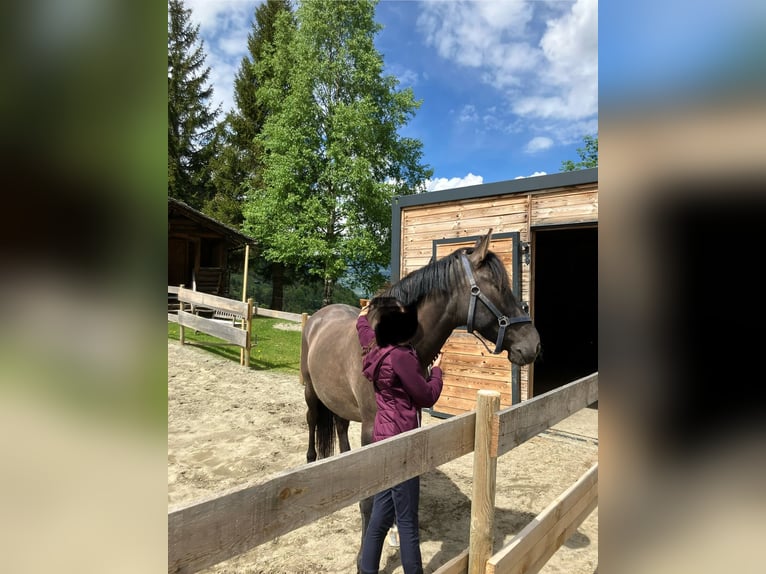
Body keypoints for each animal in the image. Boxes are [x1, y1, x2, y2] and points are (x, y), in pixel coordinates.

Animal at [299, 229, 541, 568]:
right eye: (499, 288)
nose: (534, 344)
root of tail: (319, 316)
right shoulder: (373, 430)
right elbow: (370, 499)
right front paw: (364, 556)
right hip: (310, 392)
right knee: (312, 424)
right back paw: (311, 461)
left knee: (341, 433)